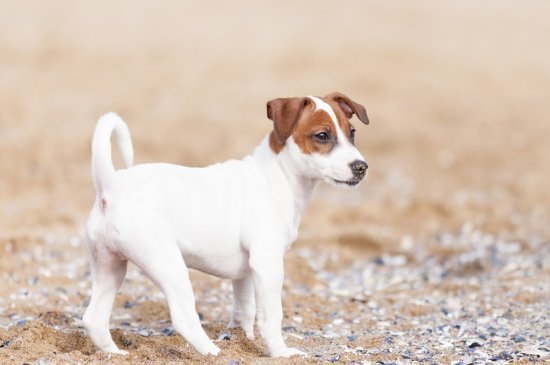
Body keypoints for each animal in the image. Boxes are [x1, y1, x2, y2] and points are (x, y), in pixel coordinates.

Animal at [82, 91, 370, 356]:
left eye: (352, 132)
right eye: (322, 135)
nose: (361, 167)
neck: (276, 176)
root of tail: (111, 184)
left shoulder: (246, 274)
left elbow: (245, 311)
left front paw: (243, 341)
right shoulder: (268, 264)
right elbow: (271, 316)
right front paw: (280, 352)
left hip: (109, 266)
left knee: (94, 318)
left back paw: (115, 353)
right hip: (167, 265)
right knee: (183, 317)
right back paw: (213, 353)